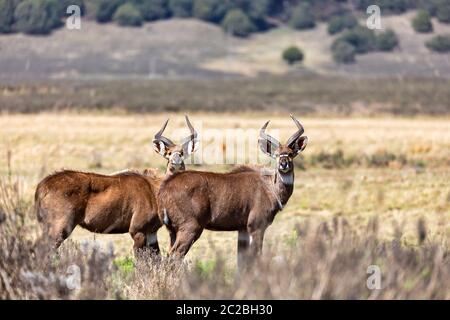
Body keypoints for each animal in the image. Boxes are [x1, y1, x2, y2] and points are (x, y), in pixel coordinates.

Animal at [33, 116, 199, 254]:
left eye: (182, 153)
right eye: (169, 153)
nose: (175, 162)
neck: (153, 188)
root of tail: (42, 186)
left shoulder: (151, 233)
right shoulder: (137, 232)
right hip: (59, 229)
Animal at [156, 115, 308, 268]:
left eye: (290, 154)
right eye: (276, 155)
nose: (283, 164)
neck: (269, 186)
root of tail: (165, 188)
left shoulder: (243, 230)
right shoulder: (256, 227)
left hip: (173, 231)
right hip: (190, 228)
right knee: (174, 256)